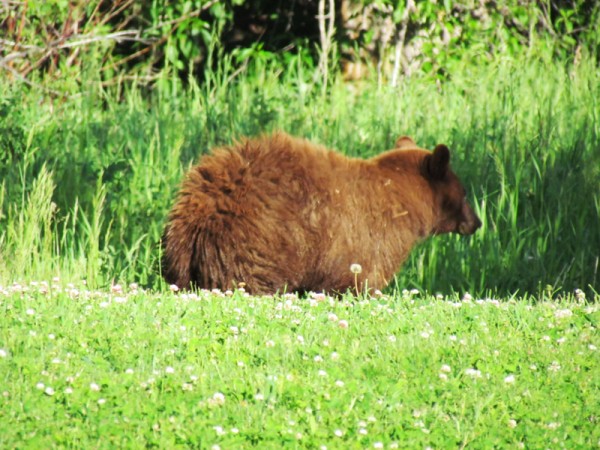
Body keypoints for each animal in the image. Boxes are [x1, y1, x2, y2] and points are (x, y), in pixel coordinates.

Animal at [162, 133, 480, 296]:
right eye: (464, 192)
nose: (476, 223)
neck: (402, 200)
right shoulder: (369, 244)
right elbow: (362, 283)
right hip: (252, 247)